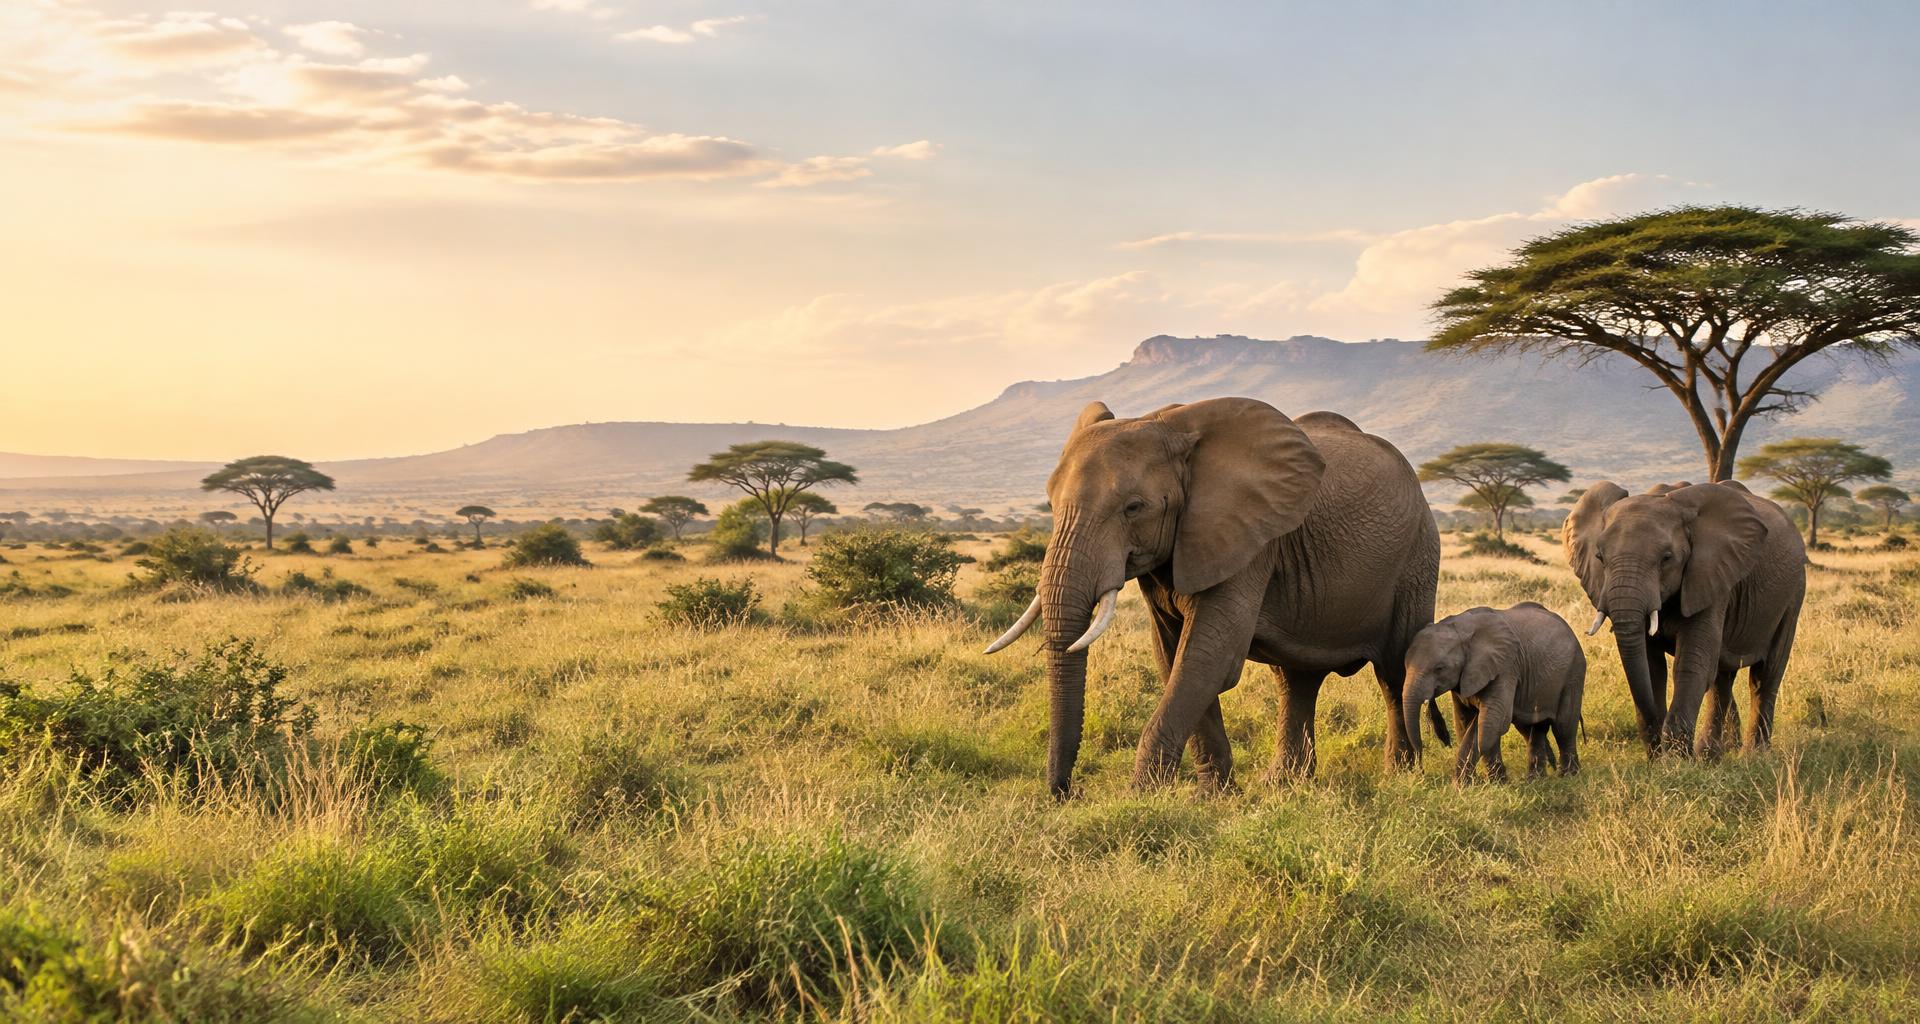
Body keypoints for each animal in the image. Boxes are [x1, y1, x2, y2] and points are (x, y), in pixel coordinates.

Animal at [983, 397, 1448, 798]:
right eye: (1049, 504)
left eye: (1134, 507)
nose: (1067, 792)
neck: (1168, 426)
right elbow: (1174, 657)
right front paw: (1214, 797)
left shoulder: (1249, 541)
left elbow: (1208, 659)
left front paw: (1141, 797)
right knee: (1296, 680)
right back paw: (1283, 785)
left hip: (1417, 556)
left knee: (1394, 671)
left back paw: (1400, 777)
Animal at [1402, 603, 1585, 782]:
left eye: (1439, 668)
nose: (1420, 769)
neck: (1461, 630)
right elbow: (1464, 722)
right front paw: (1475, 783)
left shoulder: (1506, 667)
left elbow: (1490, 722)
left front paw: (1489, 783)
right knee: (1533, 727)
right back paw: (1536, 780)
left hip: (1573, 672)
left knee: (1564, 726)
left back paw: (1569, 777)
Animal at [1564, 480, 1806, 758]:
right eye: (1600, 558)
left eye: (1667, 558)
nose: (1656, 741)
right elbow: (1652, 666)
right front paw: (1660, 757)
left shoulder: (1709, 576)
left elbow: (1690, 662)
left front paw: (1677, 760)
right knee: (1721, 676)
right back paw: (1712, 755)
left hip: (1793, 592)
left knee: (1765, 675)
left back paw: (1753, 755)